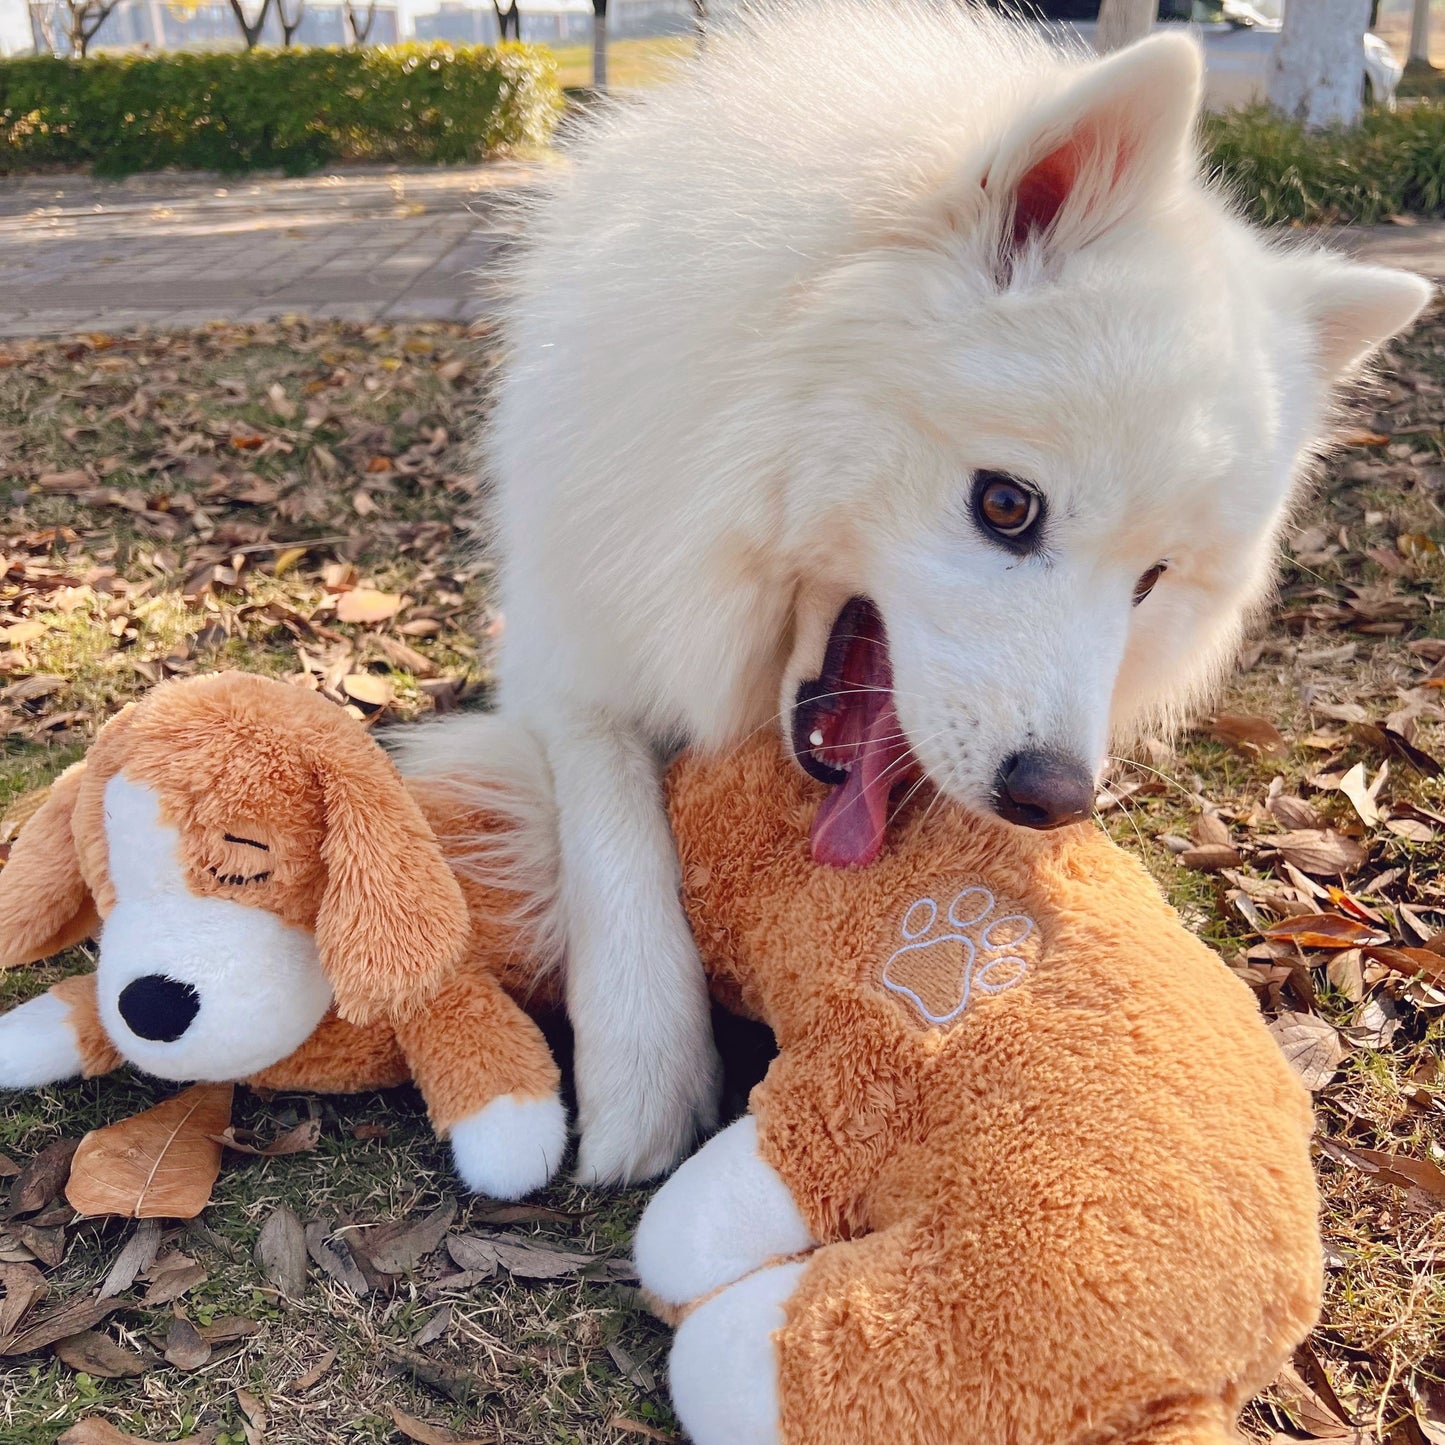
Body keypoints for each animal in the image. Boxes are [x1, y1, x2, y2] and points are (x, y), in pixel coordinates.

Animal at [413, 2, 1427, 1184]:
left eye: (1150, 580)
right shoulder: (566, 633)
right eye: (1005, 505)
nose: (1051, 796)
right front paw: (642, 1071)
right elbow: (612, 823)